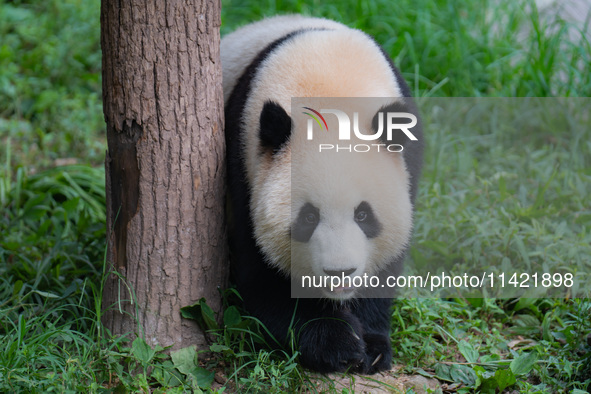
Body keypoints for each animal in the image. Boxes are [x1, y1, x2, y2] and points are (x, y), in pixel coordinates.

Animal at [221, 14, 420, 372]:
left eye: (363, 214)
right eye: (308, 217)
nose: (340, 272)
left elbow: (386, 264)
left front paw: (373, 346)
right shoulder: (244, 164)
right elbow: (263, 272)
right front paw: (339, 342)